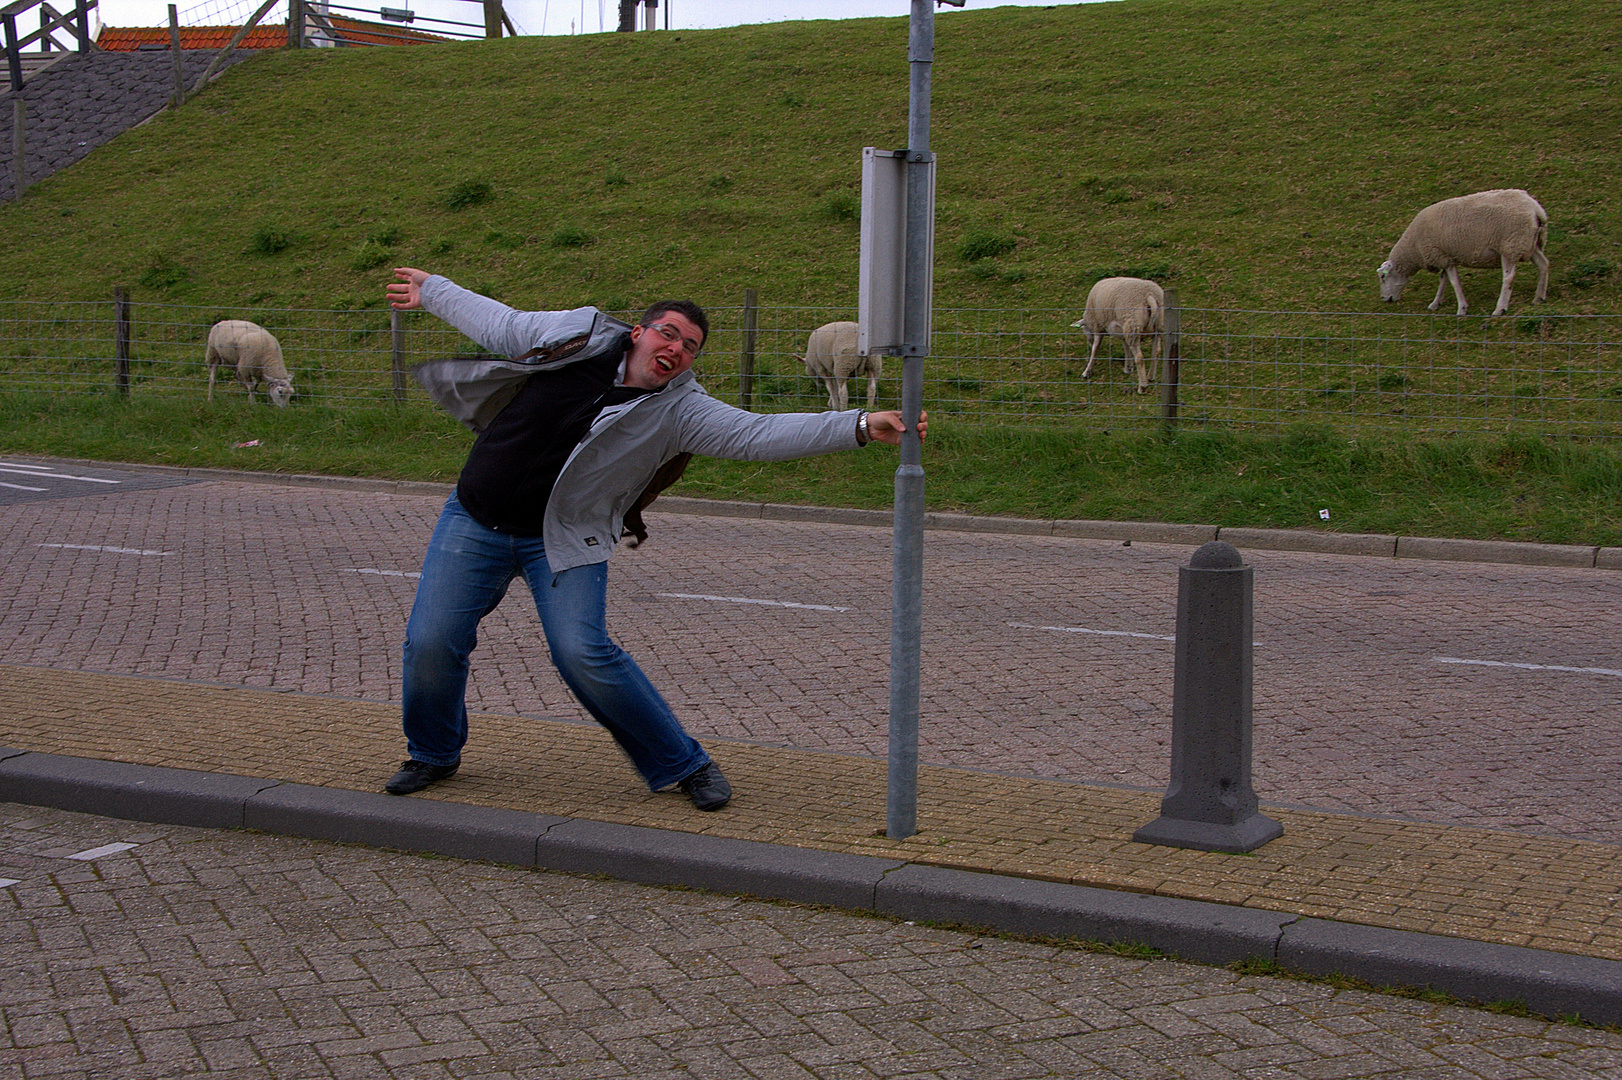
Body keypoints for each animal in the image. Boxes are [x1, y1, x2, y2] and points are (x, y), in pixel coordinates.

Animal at [1375, 188, 1550, 316]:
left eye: (1383, 277)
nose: (1384, 299)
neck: (1414, 248)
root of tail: (1536, 210)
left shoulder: (1442, 256)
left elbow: (1454, 282)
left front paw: (1462, 309)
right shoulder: (1445, 256)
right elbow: (1443, 280)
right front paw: (1435, 303)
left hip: (1510, 246)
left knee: (1508, 278)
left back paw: (1500, 308)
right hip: (1531, 244)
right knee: (1544, 264)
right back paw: (1539, 297)